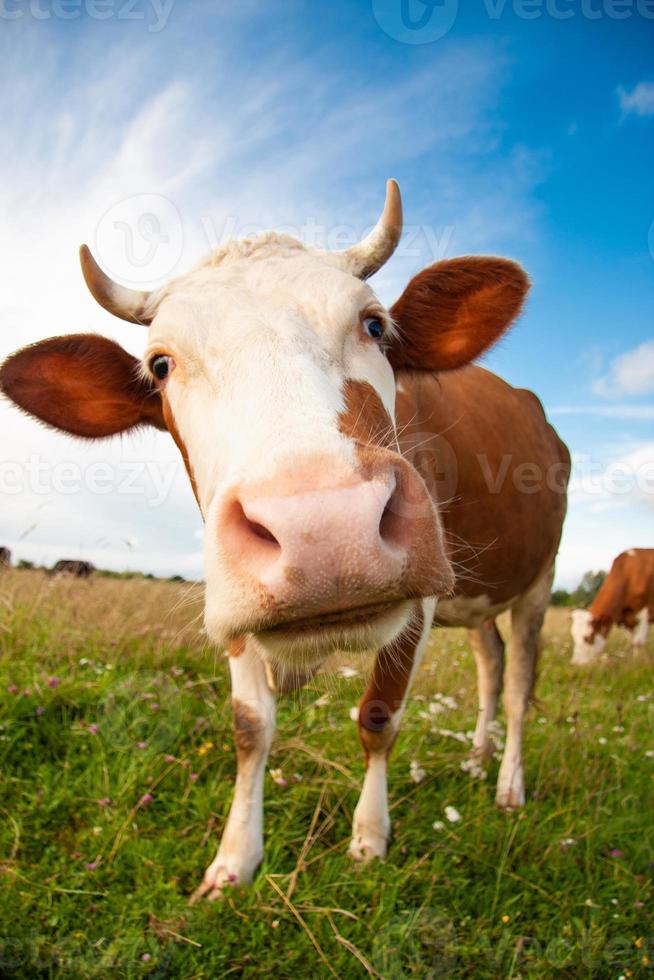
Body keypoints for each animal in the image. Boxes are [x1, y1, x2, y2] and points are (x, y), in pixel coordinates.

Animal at [0, 180, 568, 900]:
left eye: (374, 324)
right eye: (160, 364)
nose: (325, 527)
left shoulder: (421, 599)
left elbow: (378, 716)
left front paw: (369, 839)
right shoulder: (233, 601)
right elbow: (249, 728)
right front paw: (233, 861)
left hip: (539, 578)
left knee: (518, 681)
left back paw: (507, 786)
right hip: (480, 596)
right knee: (490, 665)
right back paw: (475, 757)